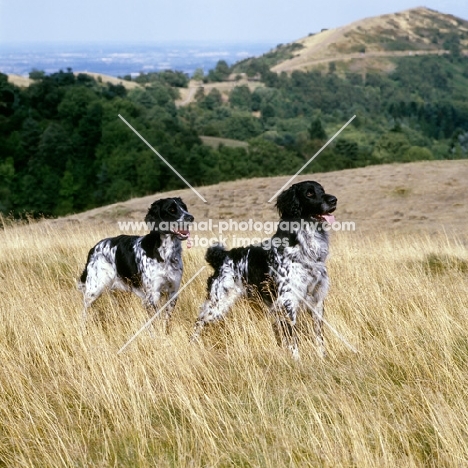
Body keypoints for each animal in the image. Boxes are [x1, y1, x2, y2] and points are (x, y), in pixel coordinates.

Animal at [78, 197, 194, 330]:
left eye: (184, 207)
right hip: (94, 289)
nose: (191, 217)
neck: (165, 254)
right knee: (84, 309)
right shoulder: (153, 295)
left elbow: (166, 319)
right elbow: (156, 319)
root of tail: (94, 248)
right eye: (172, 210)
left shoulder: (173, 291)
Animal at [191, 181, 336, 356]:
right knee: (198, 323)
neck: (305, 247)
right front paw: (297, 360)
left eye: (322, 190)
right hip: (217, 304)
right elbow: (293, 341)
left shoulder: (316, 300)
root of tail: (223, 256)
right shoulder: (287, 302)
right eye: (309, 193)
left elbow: (319, 337)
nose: (334, 200)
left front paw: (322, 357)